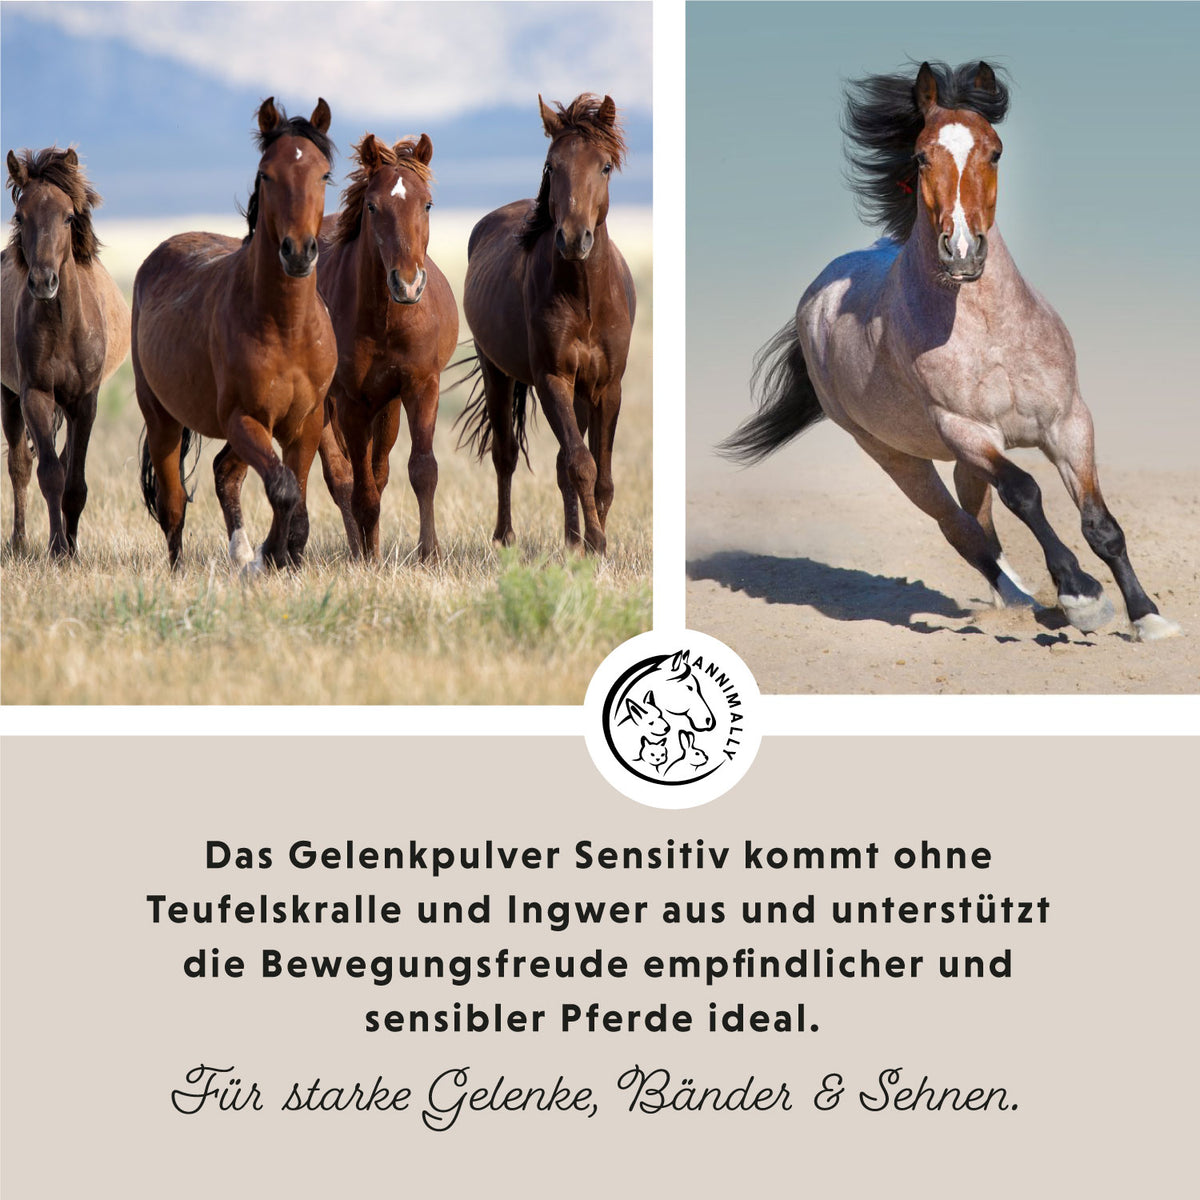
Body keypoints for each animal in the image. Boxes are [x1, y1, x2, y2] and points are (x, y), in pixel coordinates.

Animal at [2, 147, 129, 556]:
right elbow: (49, 474)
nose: (44, 282)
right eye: (20, 216)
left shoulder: (84, 401)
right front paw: (57, 549)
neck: (62, 325)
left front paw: (71, 547)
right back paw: (20, 542)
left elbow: (75, 480)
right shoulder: (36, 395)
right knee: (20, 466)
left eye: (69, 216)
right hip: (8, 396)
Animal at [132, 98, 337, 570]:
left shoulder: (306, 422)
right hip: (162, 419)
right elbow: (284, 488)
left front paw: (282, 556)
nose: (298, 253)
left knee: (225, 473)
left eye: (323, 174)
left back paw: (242, 555)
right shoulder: (245, 418)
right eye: (266, 173)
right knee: (174, 503)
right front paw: (270, 555)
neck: (287, 328)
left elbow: (296, 495)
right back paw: (183, 569)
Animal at [316, 132, 458, 562]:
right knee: (343, 477)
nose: (408, 284)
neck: (385, 320)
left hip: (387, 406)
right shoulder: (350, 402)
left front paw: (429, 554)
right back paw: (359, 552)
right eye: (372, 206)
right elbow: (360, 490)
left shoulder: (420, 387)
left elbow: (422, 470)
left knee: (378, 474)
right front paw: (367, 561)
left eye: (426, 203)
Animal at [458, 94, 636, 555]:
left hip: (580, 392)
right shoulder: (552, 378)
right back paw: (505, 537)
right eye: (551, 166)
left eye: (604, 166)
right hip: (496, 371)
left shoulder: (607, 386)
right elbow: (581, 464)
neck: (585, 299)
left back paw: (570, 540)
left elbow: (601, 475)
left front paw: (592, 541)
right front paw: (596, 543)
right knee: (505, 454)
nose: (573, 239)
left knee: (558, 463)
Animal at [721, 61, 1180, 642]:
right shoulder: (967, 430)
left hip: (965, 460)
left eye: (996, 151)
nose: (962, 251)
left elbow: (1101, 523)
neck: (990, 331)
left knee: (980, 524)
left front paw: (1147, 617)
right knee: (959, 528)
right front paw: (1083, 597)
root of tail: (816, 298)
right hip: (897, 457)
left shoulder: (1068, 423)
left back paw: (1028, 601)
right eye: (921, 156)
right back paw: (1025, 601)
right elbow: (1025, 493)